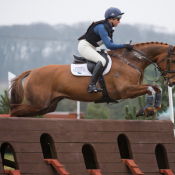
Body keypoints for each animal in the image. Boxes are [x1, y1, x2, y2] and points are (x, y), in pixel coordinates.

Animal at [9, 41, 175, 117]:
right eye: (173, 60)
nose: (171, 82)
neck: (131, 61)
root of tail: (32, 71)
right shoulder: (126, 91)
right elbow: (150, 88)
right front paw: (145, 109)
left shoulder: (132, 89)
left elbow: (156, 88)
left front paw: (152, 109)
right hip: (38, 104)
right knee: (14, 111)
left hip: (47, 106)